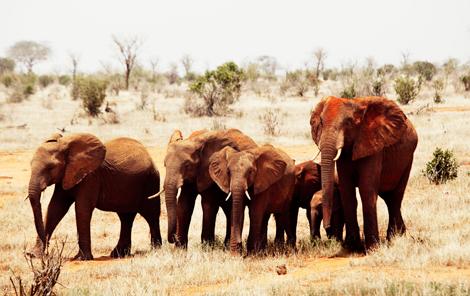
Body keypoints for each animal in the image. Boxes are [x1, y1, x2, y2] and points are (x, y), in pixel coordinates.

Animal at [26, 133, 162, 260]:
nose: (48, 253)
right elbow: (55, 208)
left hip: (151, 182)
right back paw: (118, 254)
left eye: (51, 168)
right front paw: (33, 255)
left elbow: (82, 208)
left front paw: (82, 258)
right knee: (126, 217)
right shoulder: (66, 175)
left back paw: (156, 250)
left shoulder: (90, 177)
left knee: (151, 215)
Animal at [310, 97, 416, 252]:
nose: (327, 227)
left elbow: (366, 189)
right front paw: (351, 247)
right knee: (388, 198)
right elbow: (347, 191)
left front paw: (372, 248)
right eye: (321, 122)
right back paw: (398, 235)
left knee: (395, 198)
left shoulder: (373, 145)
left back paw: (393, 239)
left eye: (348, 123)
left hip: (407, 160)